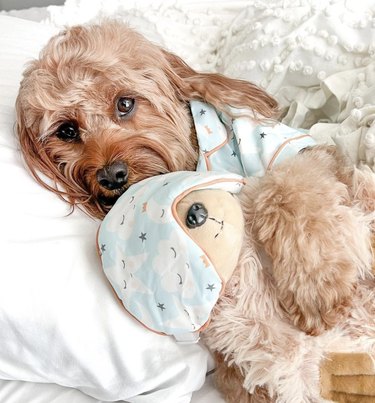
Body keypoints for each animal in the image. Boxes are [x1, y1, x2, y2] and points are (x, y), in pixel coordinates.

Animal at [16, 21, 375, 400]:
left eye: (125, 103)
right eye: (67, 130)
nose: (111, 176)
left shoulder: (298, 151)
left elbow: (284, 190)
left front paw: (317, 291)